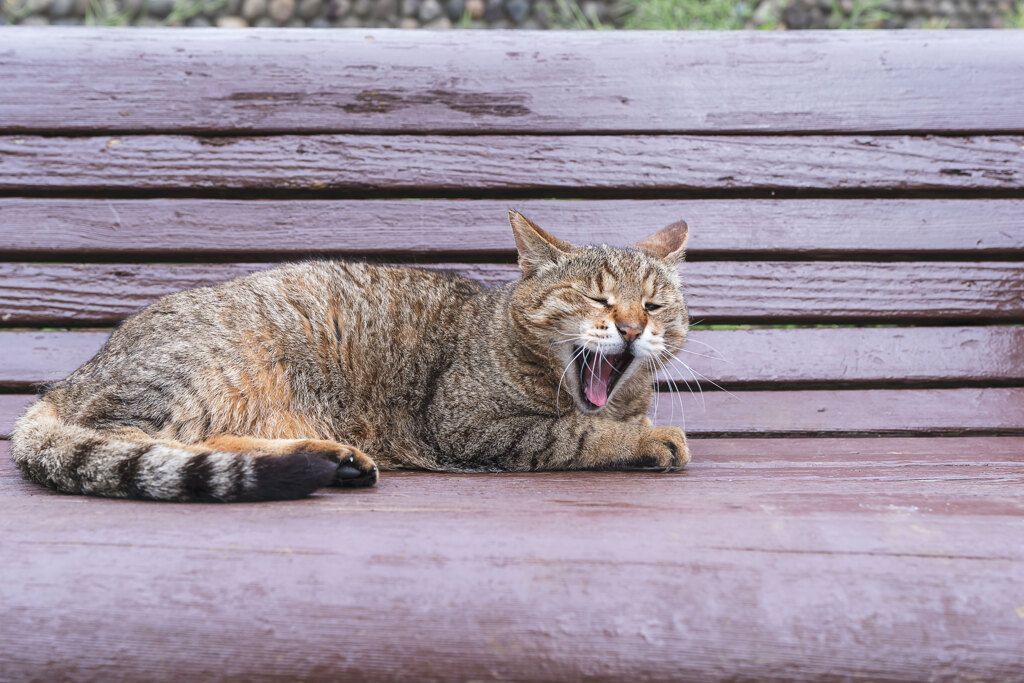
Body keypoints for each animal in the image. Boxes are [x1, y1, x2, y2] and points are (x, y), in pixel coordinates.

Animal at [12, 210, 692, 505]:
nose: (631, 328)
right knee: (141, 440)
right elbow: (576, 433)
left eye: (654, 305)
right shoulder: (471, 426)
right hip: (199, 374)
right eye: (596, 297)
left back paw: (330, 459)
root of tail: (67, 382)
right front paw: (647, 438)